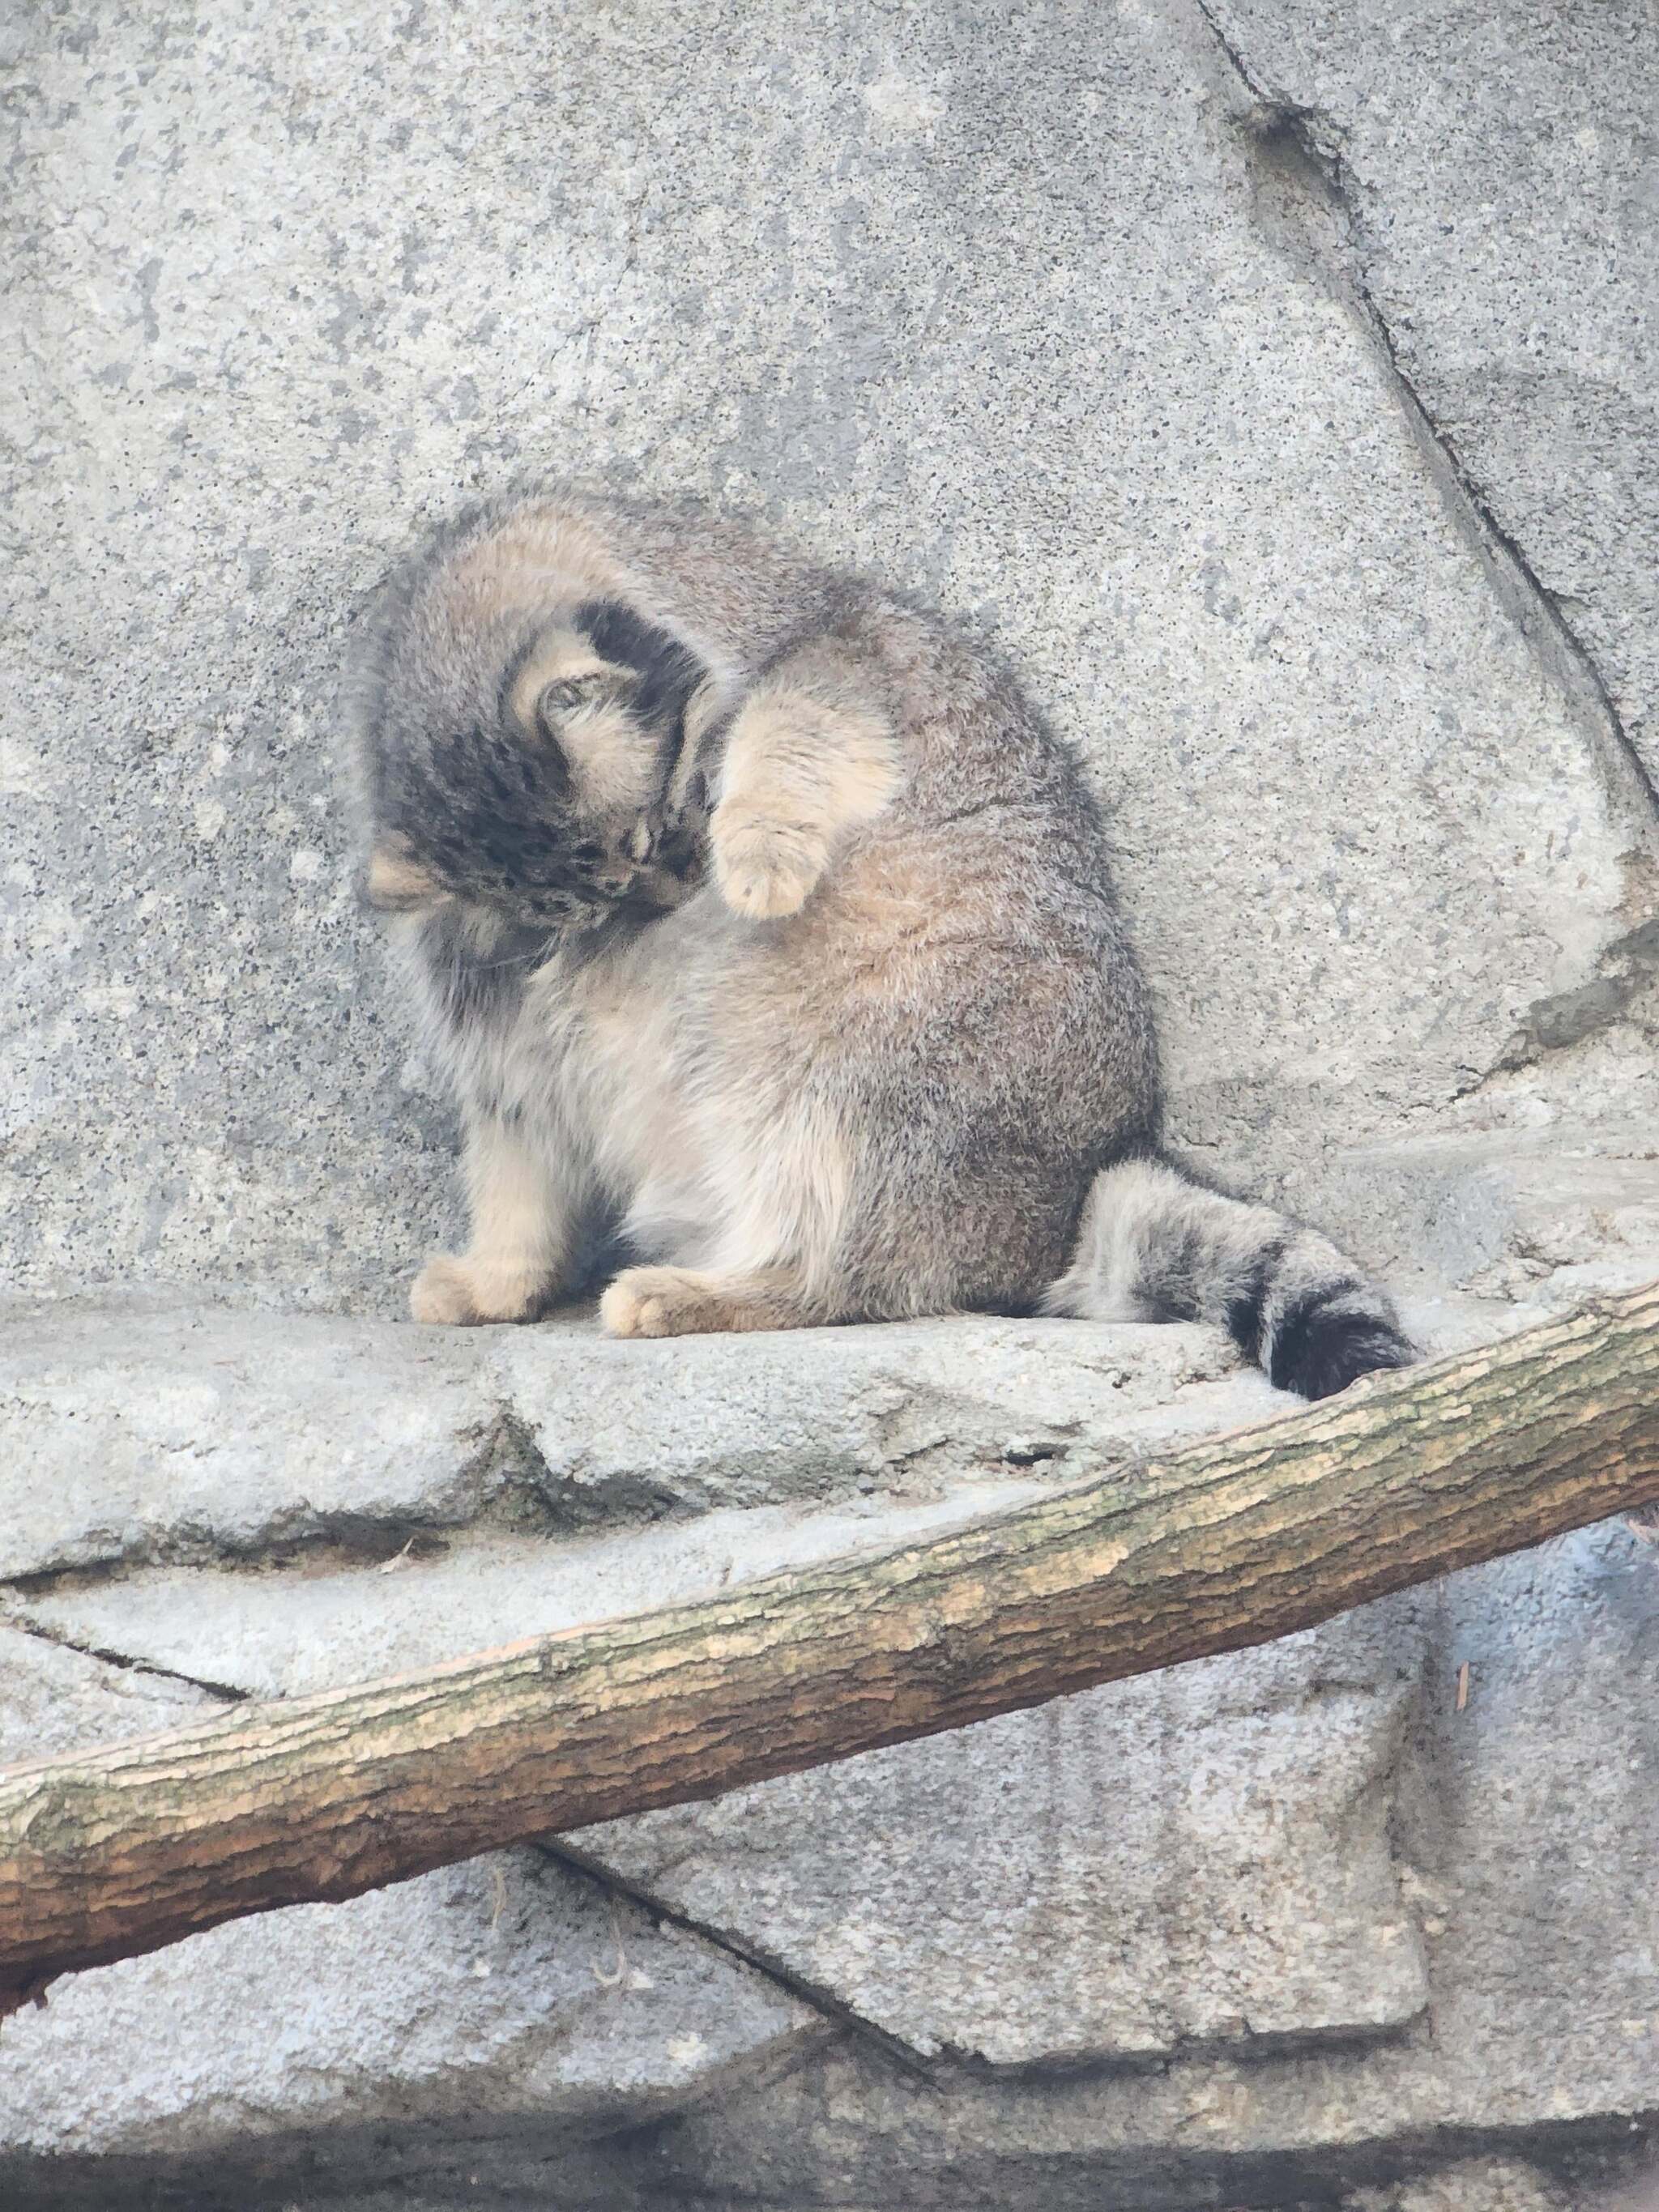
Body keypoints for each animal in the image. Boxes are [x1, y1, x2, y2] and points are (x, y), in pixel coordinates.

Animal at [347, 495, 1415, 1397]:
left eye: (662, 831)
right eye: (591, 903)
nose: (677, 893)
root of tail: (1062, 1205)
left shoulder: (840, 653)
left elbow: (794, 724)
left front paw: (759, 854)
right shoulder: (499, 1033)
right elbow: (515, 1155)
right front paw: (500, 1276)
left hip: (862, 1075)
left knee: (862, 1280)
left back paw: (707, 1290)